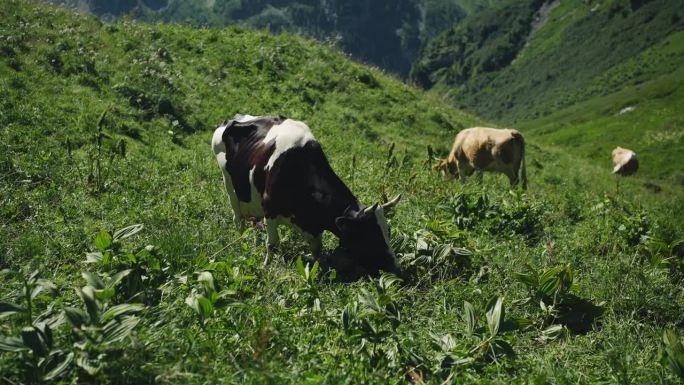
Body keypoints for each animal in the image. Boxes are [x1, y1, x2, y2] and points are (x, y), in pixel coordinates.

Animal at [212, 112, 400, 274]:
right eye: (371, 235)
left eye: (388, 230)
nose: (396, 266)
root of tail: (231, 120)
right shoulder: (270, 211)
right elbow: (272, 244)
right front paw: (266, 266)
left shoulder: (313, 226)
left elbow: (317, 251)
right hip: (229, 185)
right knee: (238, 219)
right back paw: (242, 241)